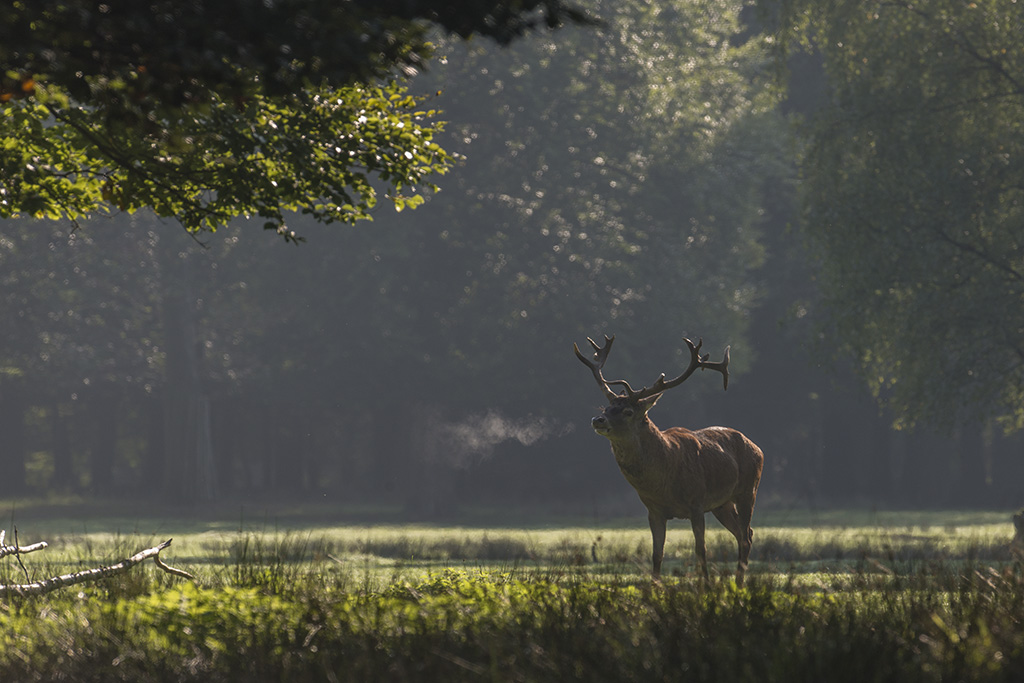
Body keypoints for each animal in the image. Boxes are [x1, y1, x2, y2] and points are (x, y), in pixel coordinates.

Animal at [574, 334, 764, 585]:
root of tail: (757, 447)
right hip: (722, 504)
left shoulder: (697, 503)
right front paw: (655, 586)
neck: (664, 479)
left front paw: (706, 586)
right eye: (606, 407)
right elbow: (657, 554)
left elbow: (701, 549)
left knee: (746, 535)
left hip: (748, 490)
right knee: (743, 533)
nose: (598, 420)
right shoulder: (653, 510)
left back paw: (739, 583)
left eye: (628, 412)